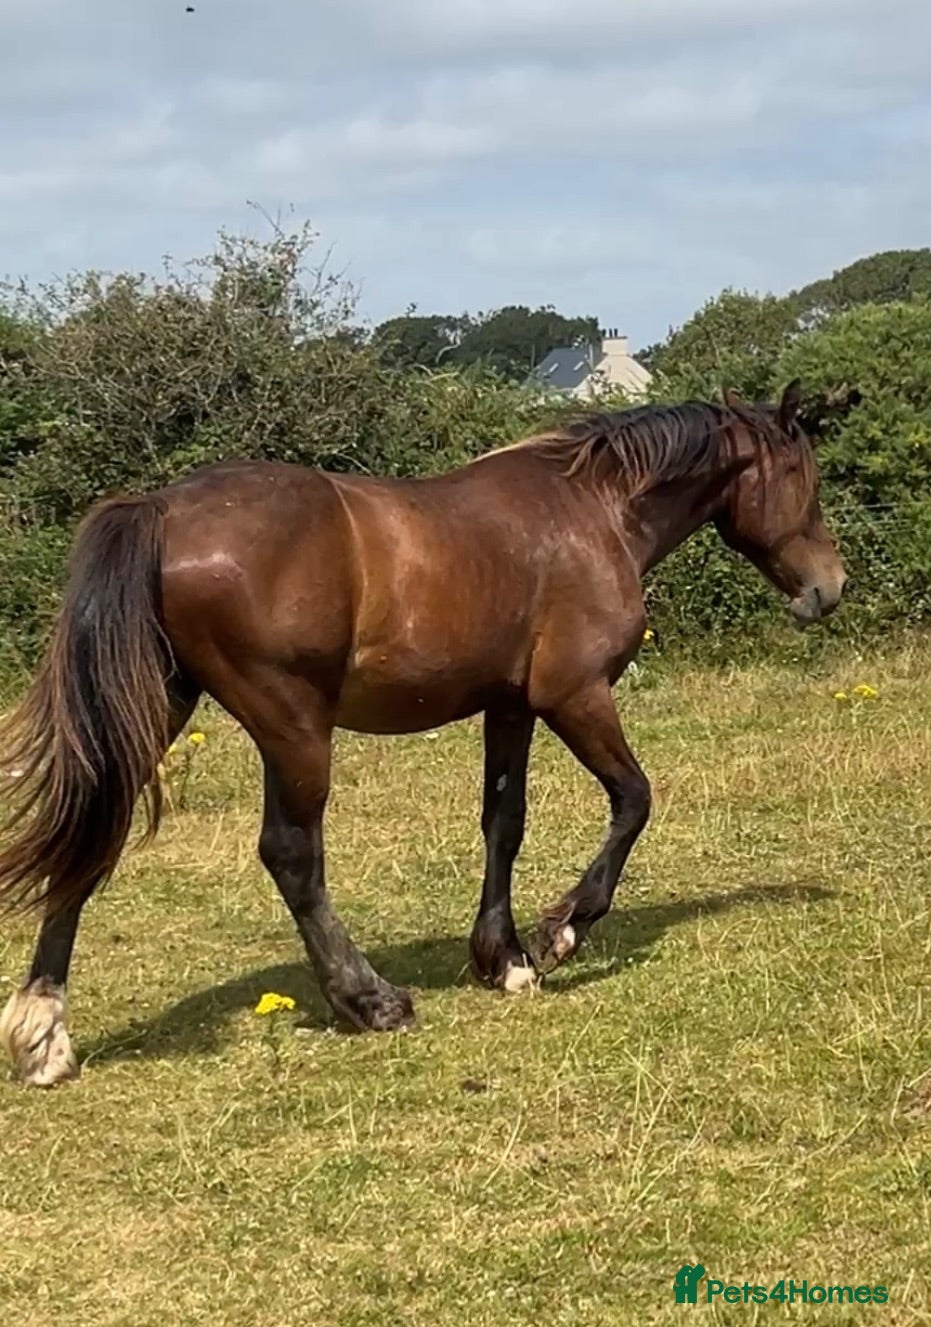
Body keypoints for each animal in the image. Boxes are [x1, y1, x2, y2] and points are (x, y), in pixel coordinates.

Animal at [0, 379, 848, 1086]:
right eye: (801, 475)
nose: (828, 588)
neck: (590, 513)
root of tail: (162, 508)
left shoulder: (510, 705)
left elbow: (504, 822)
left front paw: (502, 958)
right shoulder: (574, 694)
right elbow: (633, 799)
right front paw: (562, 929)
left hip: (159, 709)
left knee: (93, 834)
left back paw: (44, 1032)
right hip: (292, 724)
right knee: (291, 856)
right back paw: (370, 998)